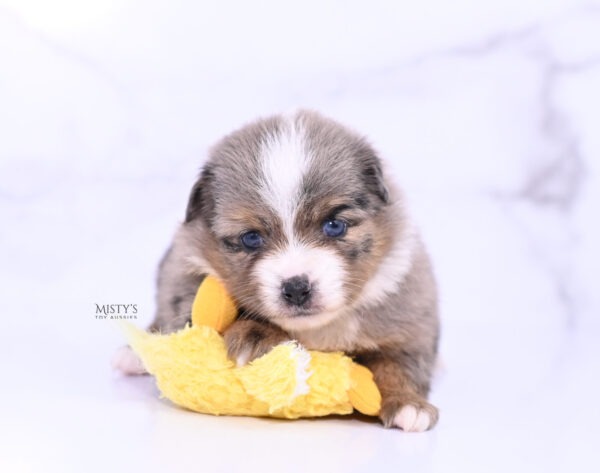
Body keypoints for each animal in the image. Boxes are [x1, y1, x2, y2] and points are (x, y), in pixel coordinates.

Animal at [113, 109, 440, 432]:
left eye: (334, 225)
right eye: (251, 237)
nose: (296, 288)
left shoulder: (407, 310)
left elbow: (399, 360)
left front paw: (408, 403)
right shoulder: (185, 271)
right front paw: (256, 334)